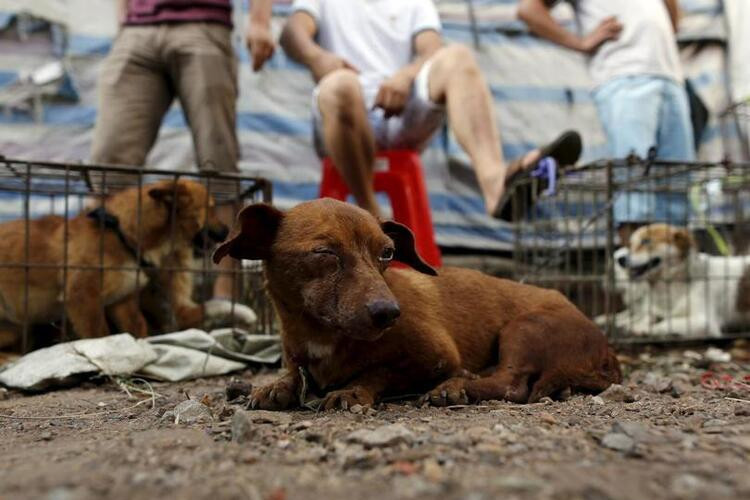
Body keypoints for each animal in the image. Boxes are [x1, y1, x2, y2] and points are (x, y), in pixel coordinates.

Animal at [0, 158, 274, 354]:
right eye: (210, 208)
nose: (229, 230)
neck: (123, 237)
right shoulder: (82, 298)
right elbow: (100, 334)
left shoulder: (122, 302)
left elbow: (137, 328)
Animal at [213, 197, 624, 408]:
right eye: (324, 252)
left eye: (387, 253)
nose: (389, 313)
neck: (322, 335)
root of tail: (607, 349)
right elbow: (293, 371)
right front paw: (276, 385)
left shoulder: (435, 357)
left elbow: (379, 372)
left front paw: (352, 390)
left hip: (523, 326)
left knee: (512, 383)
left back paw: (458, 387)